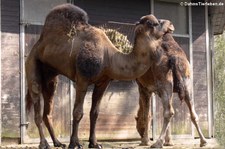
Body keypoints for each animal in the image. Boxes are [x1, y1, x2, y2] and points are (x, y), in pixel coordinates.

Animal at [25, 3, 174, 149]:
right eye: (153, 23)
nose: (170, 24)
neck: (108, 58)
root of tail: (36, 46)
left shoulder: (103, 82)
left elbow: (95, 113)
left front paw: (94, 143)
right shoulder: (82, 79)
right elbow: (77, 112)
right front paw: (74, 143)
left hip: (50, 77)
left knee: (47, 110)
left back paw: (57, 143)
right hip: (33, 65)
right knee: (36, 106)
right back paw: (44, 144)